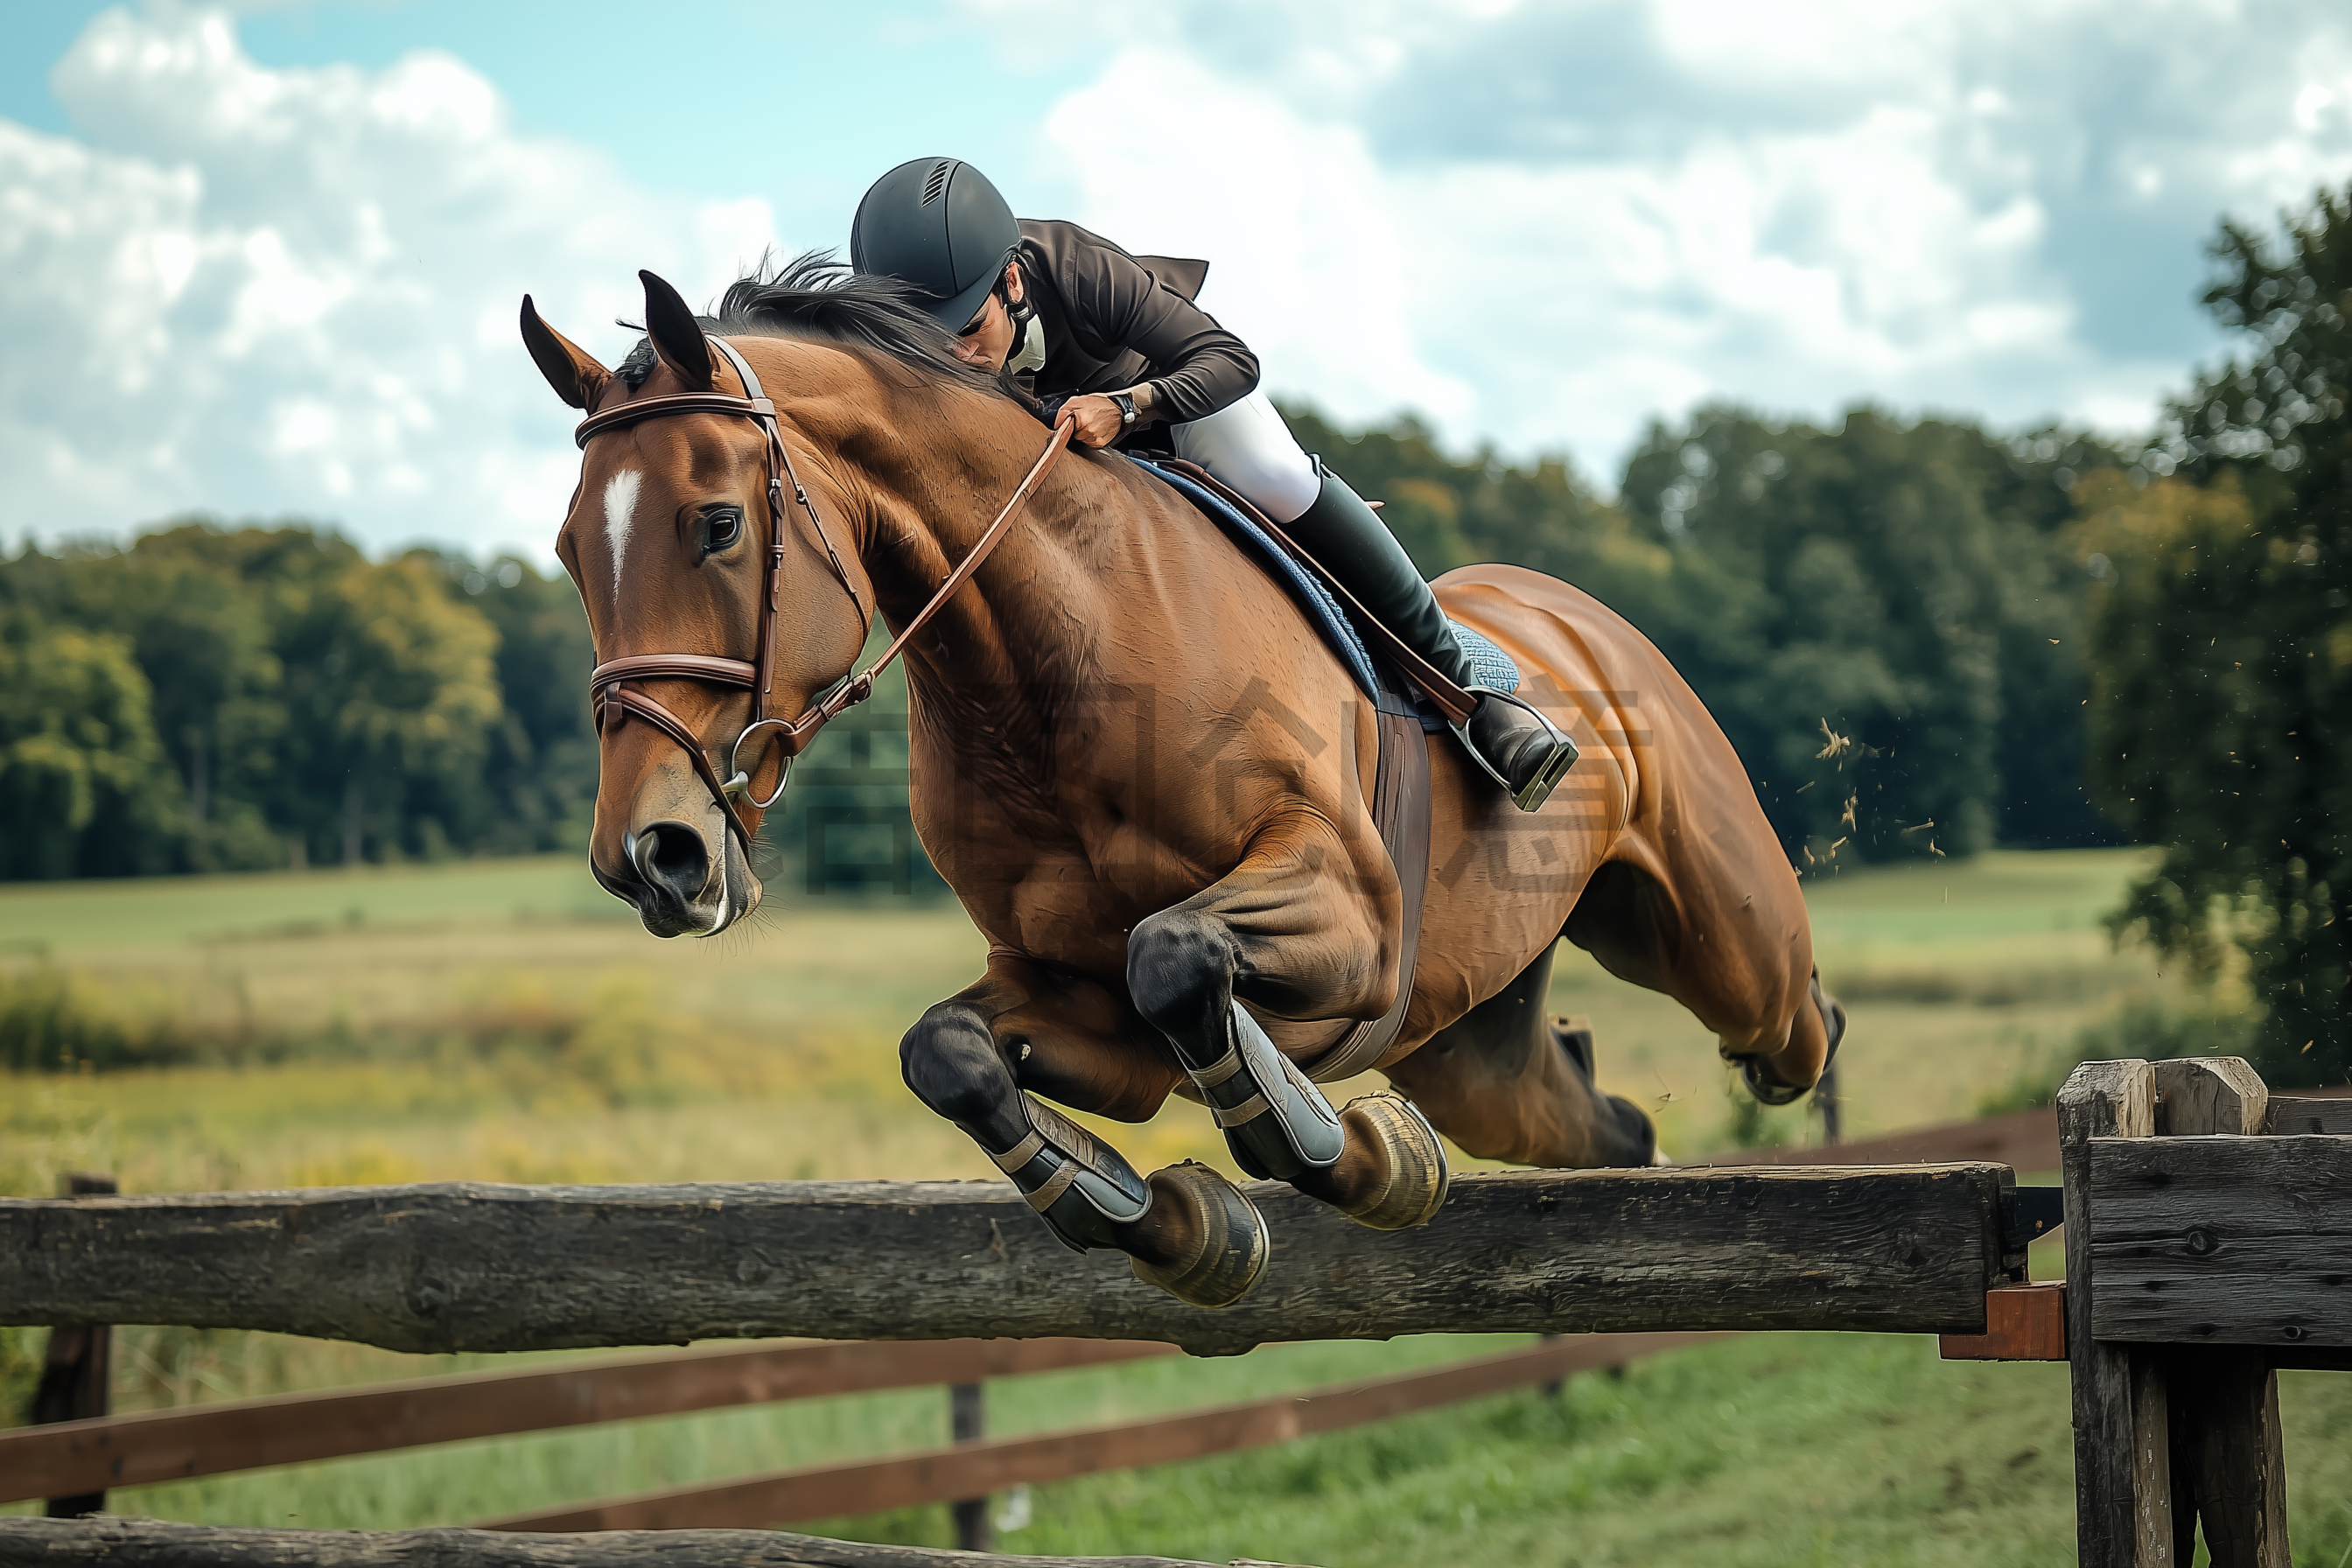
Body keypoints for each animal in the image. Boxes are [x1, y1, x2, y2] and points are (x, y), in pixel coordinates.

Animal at [519, 258, 1842, 1308]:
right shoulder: (1077, 1001)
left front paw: (1353, 1152)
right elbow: (951, 1053)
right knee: (1598, 1122)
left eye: (716, 525)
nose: (652, 858)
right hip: (1474, 1046)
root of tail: (1572, 609)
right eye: (571, 552)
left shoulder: (1350, 917)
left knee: (1789, 1018)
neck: (1056, 664)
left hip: (1719, 940)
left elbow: (1178, 956)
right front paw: (1177, 1223)